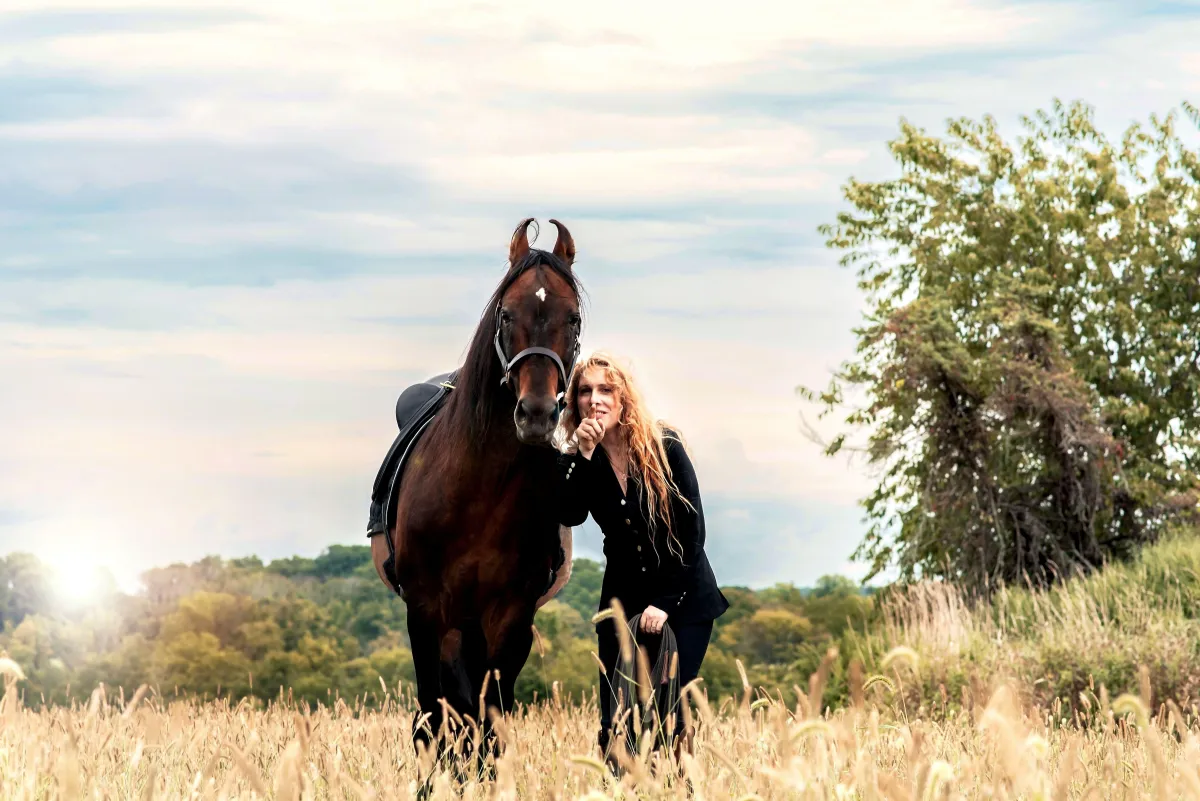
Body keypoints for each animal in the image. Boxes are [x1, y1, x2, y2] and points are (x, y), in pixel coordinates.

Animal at [370, 218, 583, 763]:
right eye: (507, 314)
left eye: (573, 319)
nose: (535, 414)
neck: (478, 488)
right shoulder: (426, 611)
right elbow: (438, 714)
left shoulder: (511, 617)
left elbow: (487, 720)